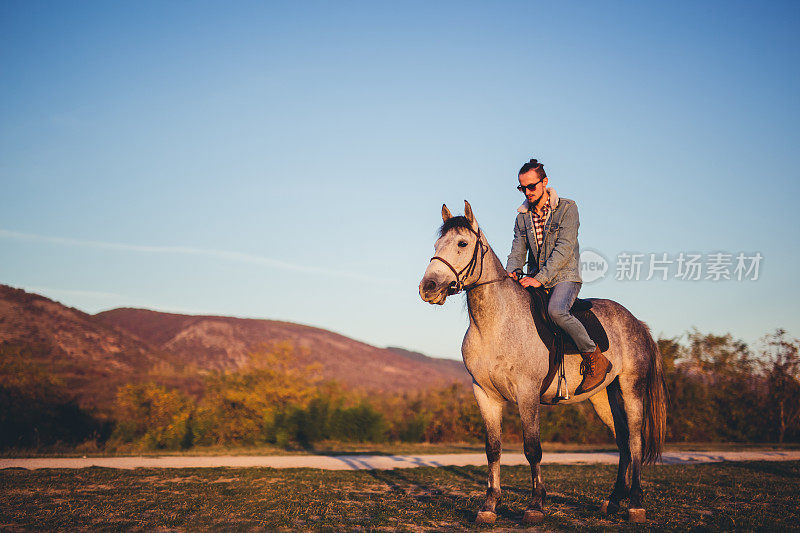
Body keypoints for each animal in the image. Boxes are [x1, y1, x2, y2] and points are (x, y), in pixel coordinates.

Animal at [418, 201, 668, 524]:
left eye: (462, 243)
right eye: (437, 245)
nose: (428, 287)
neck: (497, 324)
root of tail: (637, 323)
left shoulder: (527, 393)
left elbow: (532, 449)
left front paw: (536, 505)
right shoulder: (484, 394)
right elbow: (493, 449)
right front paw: (489, 505)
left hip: (631, 389)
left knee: (635, 440)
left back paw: (635, 503)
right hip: (603, 397)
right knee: (623, 443)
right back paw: (613, 501)